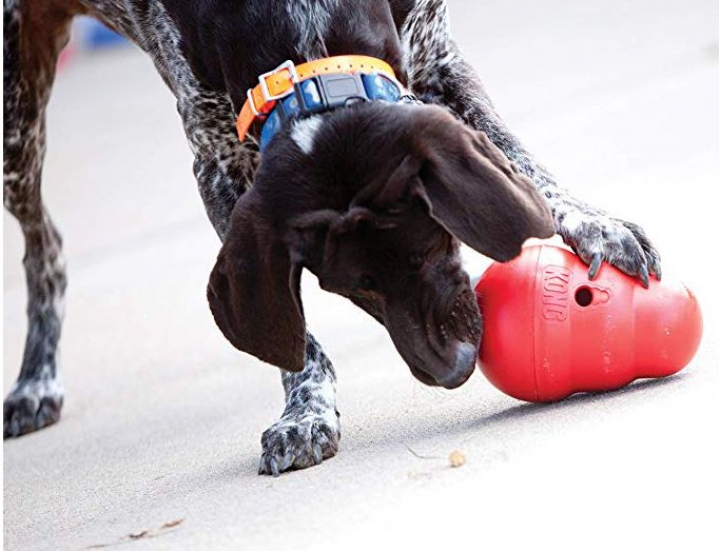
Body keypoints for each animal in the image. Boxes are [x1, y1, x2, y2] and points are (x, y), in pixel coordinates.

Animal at [3, 0, 661, 475]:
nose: (452, 372)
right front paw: (306, 410)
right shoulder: (215, 160)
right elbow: (295, 341)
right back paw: (36, 380)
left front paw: (594, 224)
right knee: (45, 247)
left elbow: (522, 163)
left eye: (433, 243)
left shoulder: (436, 56)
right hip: (15, 127)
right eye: (353, 292)